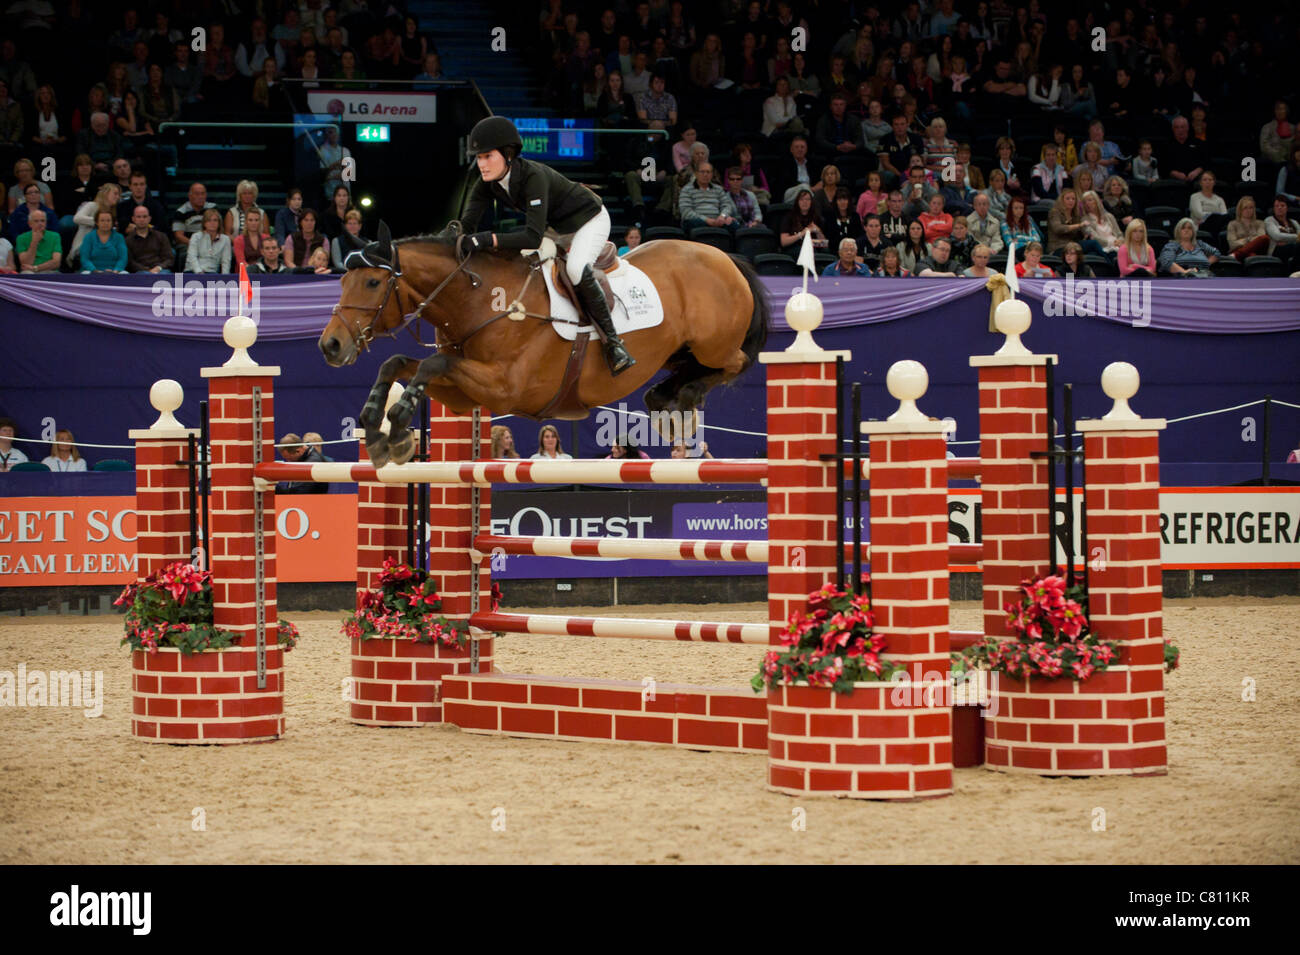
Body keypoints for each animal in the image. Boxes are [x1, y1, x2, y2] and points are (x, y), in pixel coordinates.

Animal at [318, 220, 764, 467]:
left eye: (372, 282)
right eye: (341, 281)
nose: (330, 346)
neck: (479, 300)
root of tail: (724, 257)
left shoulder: (504, 388)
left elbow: (429, 365)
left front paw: (397, 428)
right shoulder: (464, 394)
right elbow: (396, 363)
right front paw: (376, 428)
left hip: (713, 344)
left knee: (736, 362)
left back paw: (683, 397)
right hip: (675, 352)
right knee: (686, 373)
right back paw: (665, 403)